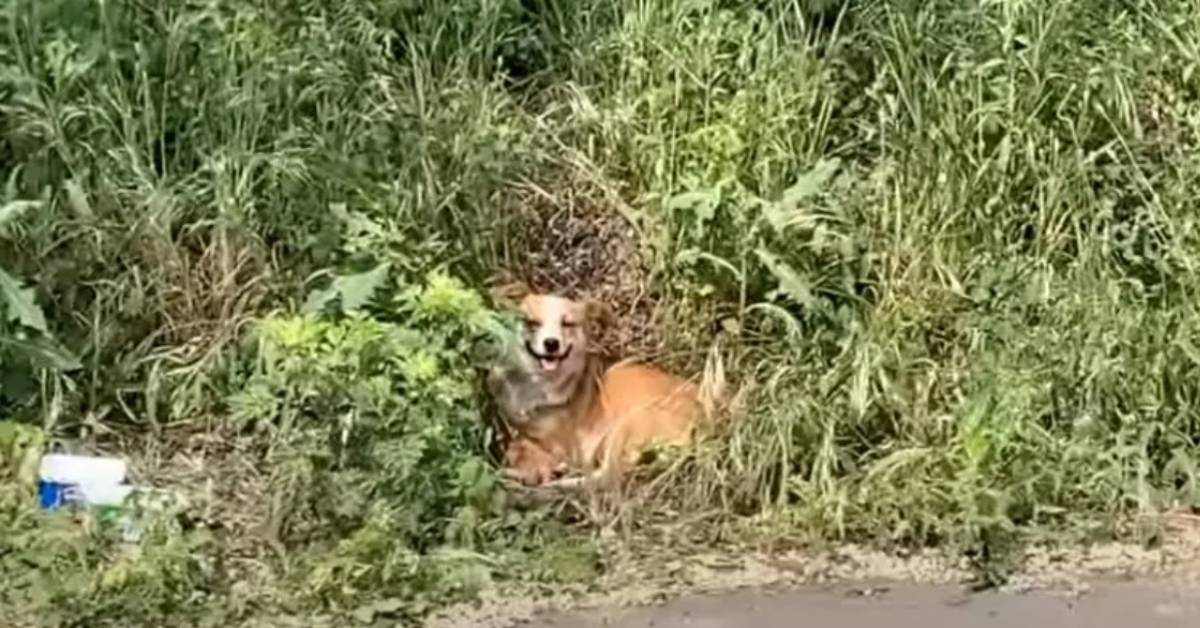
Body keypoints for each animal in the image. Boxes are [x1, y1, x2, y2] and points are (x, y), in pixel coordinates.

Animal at [482, 286, 700, 489]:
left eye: (567, 323)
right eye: (533, 322)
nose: (551, 343)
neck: (535, 383)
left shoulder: (561, 445)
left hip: (626, 425)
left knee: (606, 477)